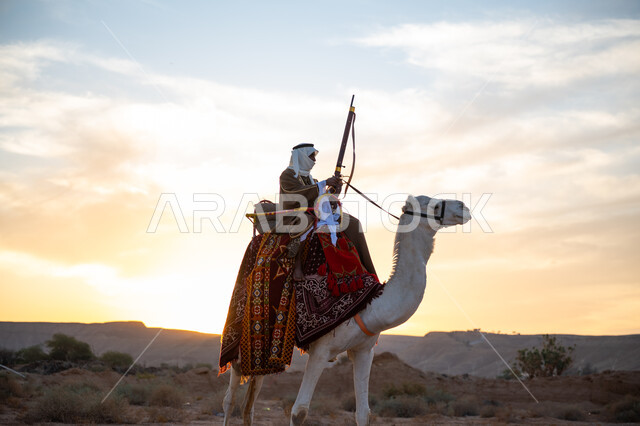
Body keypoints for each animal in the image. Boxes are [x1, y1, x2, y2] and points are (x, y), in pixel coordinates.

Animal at [222, 194, 471, 426]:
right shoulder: (321, 350)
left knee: (250, 402)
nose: (463, 207)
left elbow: (363, 413)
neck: (370, 305)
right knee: (230, 398)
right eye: (435, 205)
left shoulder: (364, 350)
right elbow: (299, 411)